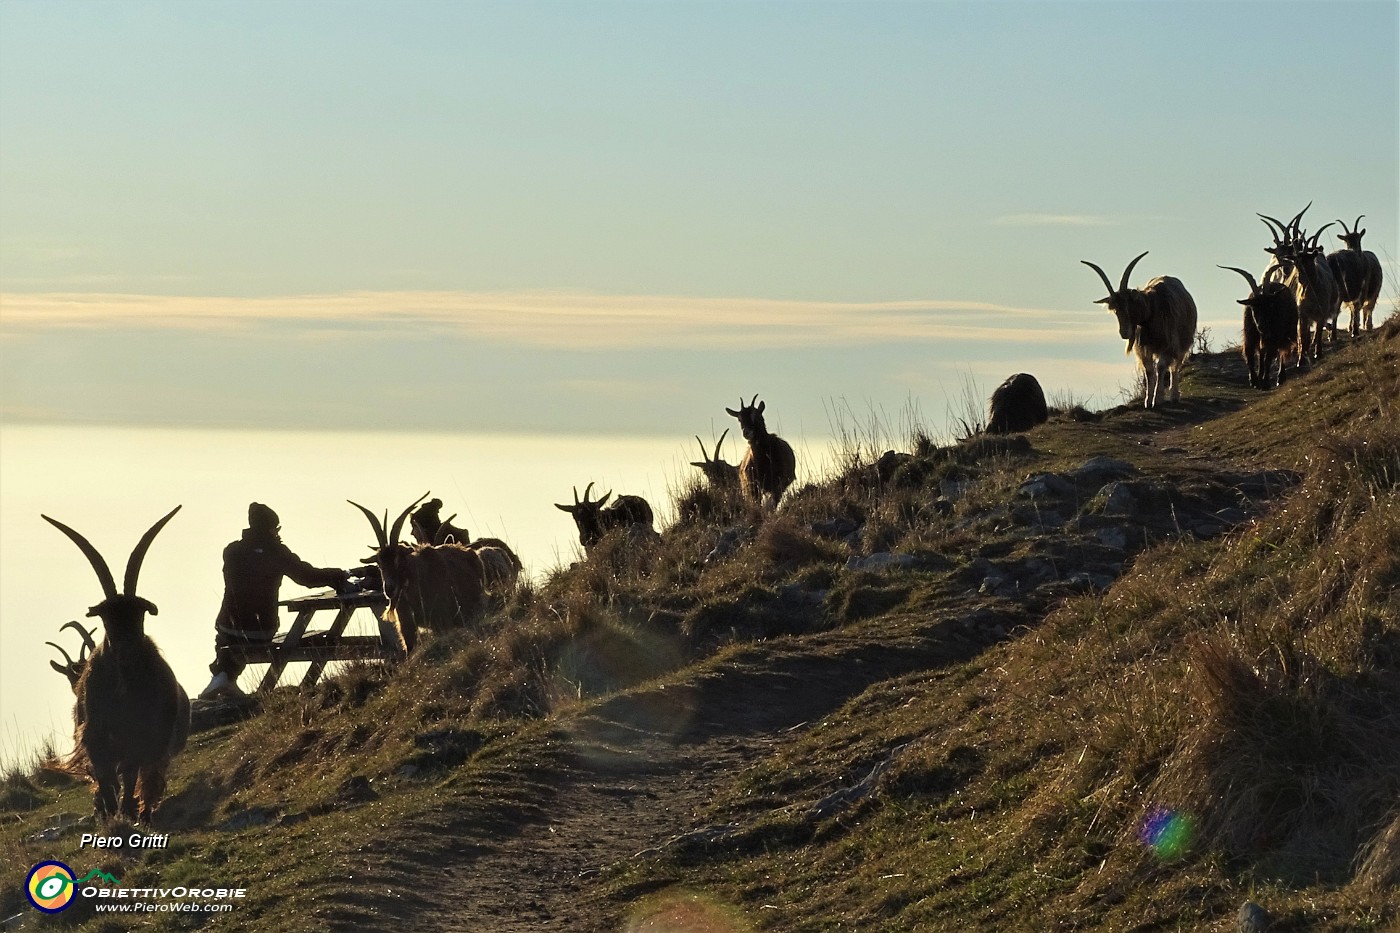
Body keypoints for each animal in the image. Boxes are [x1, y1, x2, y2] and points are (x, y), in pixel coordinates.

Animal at [42, 504, 189, 818]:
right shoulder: (96, 737)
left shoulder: (141, 736)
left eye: (139, 613)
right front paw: (109, 812)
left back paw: (141, 811)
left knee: (147, 776)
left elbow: (131, 775)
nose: (126, 649)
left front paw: (127, 811)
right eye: (106, 616)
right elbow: (106, 778)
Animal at [1075, 250, 1198, 406]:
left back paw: (1175, 395)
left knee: (1175, 366)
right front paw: (1147, 401)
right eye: (1115, 310)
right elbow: (1148, 370)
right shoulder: (1143, 347)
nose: (1124, 333)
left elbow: (1161, 367)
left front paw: (1158, 399)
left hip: (1182, 342)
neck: (1152, 307)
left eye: (1129, 304)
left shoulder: (1168, 344)